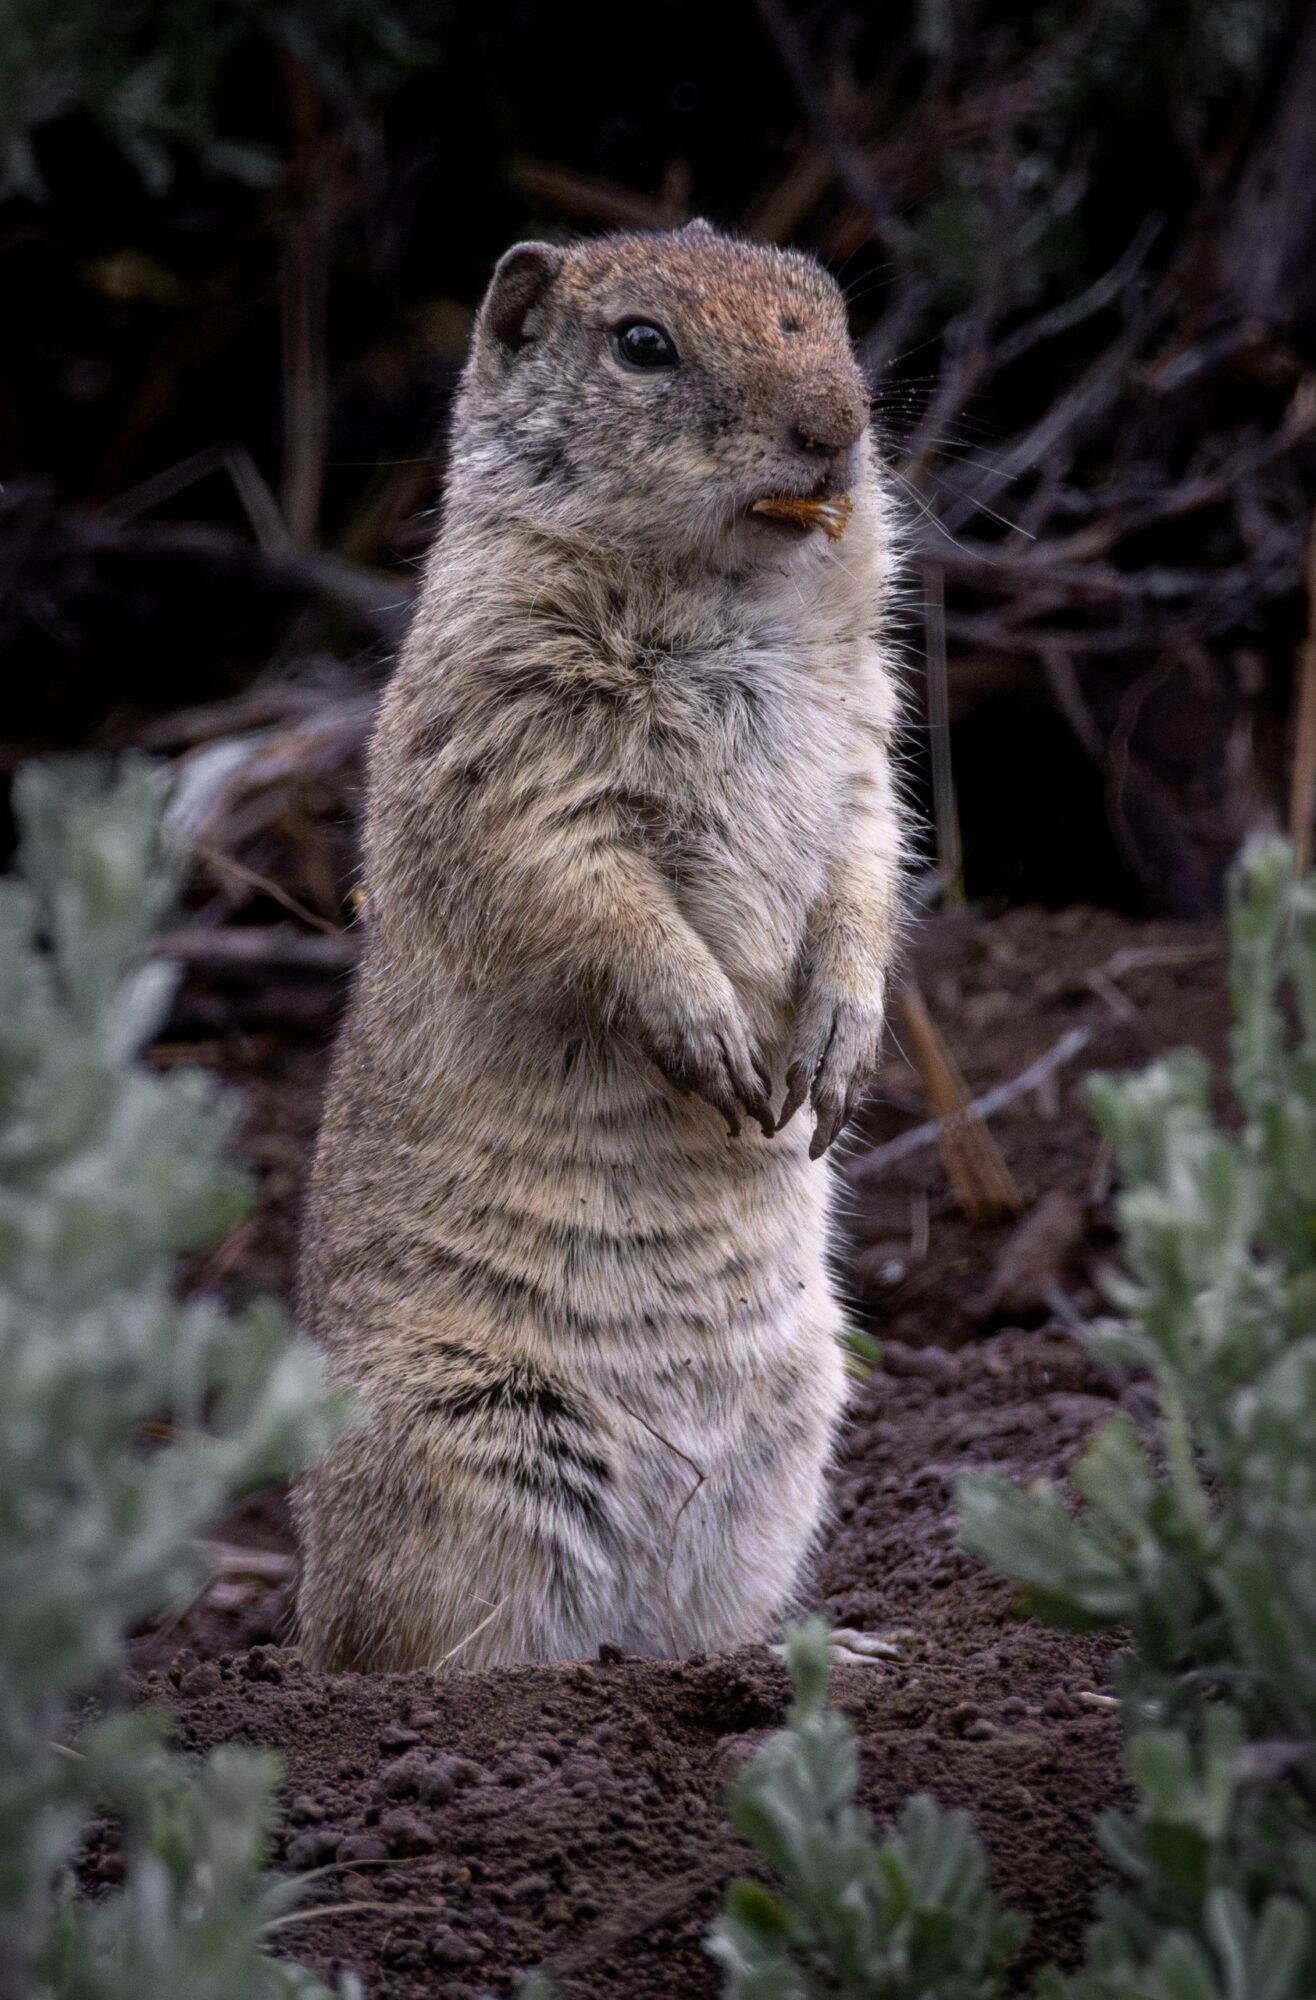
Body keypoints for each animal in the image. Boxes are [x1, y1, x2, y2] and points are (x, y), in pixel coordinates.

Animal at [293, 221, 904, 1673]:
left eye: (824, 311)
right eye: (641, 343)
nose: (837, 428)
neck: (737, 598)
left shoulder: (865, 752)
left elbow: (865, 877)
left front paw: (832, 1058)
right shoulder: (517, 750)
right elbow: (595, 898)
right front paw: (716, 1040)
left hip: (787, 1440)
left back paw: (793, 1652)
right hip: (467, 1448)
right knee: (433, 1644)